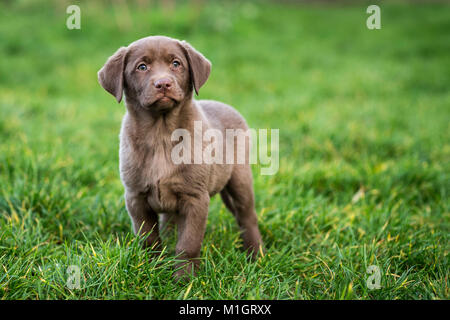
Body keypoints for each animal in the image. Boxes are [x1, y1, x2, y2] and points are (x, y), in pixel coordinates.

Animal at [96, 35, 262, 280]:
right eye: (142, 67)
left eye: (176, 64)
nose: (163, 83)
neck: (161, 134)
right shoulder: (135, 197)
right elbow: (148, 238)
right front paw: (151, 268)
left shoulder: (195, 198)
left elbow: (188, 243)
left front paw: (185, 279)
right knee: (170, 221)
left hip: (240, 178)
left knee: (247, 216)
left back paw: (255, 254)